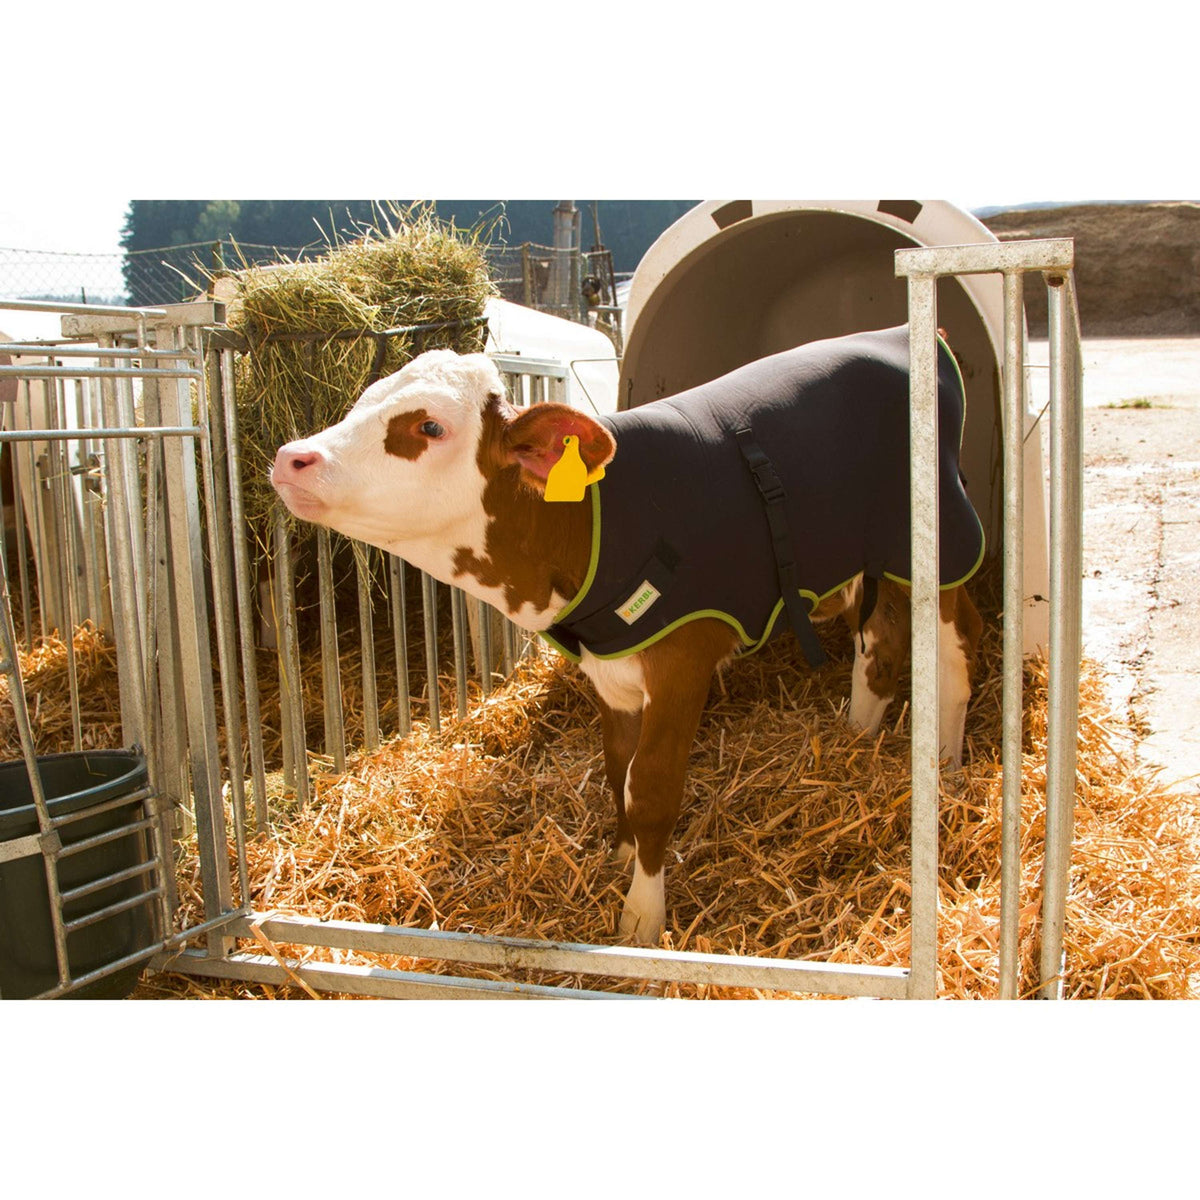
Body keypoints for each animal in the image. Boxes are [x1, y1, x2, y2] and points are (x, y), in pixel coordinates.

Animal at [270, 326, 984, 945]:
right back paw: (858, 736)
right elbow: (618, 768)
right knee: (882, 643)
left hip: (943, 539)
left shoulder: (683, 659)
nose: (290, 457)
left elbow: (654, 787)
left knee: (958, 644)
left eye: (429, 426)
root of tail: (905, 332)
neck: (591, 526)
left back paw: (947, 764)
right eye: (364, 400)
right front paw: (620, 853)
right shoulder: (610, 667)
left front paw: (642, 916)